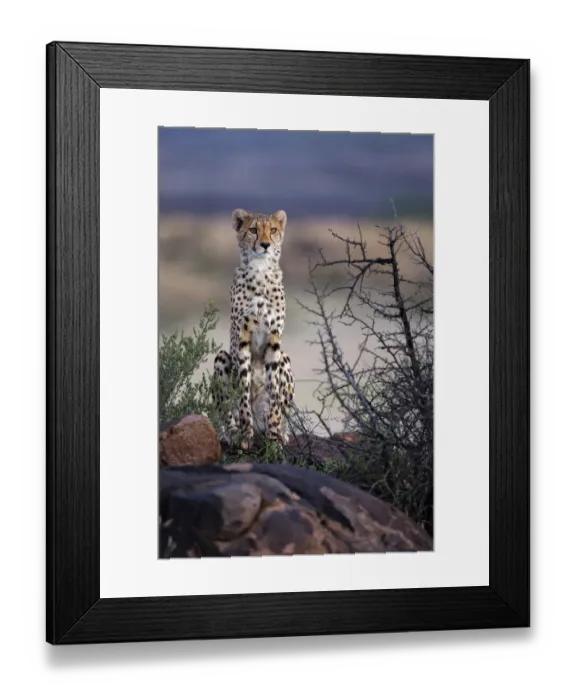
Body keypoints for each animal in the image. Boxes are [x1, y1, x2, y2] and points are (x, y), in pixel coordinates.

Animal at [212, 208, 295, 450]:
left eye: (273, 230)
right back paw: (233, 434)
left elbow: (274, 393)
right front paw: (245, 435)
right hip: (221, 357)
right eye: (253, 230)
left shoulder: (274, 341)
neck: (260, 271)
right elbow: (242, 393)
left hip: (286, 358)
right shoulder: (241, 341)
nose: (265, 244)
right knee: (227, 412)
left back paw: (279, 433)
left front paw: (274, 437)